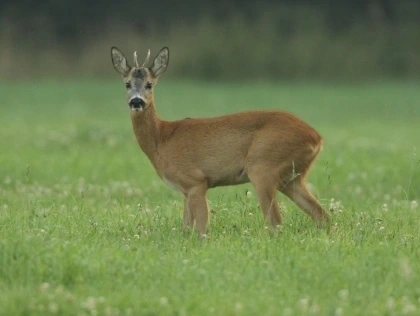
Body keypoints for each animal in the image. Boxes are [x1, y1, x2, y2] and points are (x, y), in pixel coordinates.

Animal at [111, 46, 332, 235]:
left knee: (276, 222)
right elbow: (185, 229)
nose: (137, 101)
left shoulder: (196, 181)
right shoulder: (185, 190)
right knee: (321, 215)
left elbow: (202, 230)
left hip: (263, 167)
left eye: (149, 84)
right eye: (127, 84)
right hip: (292, 178)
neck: (162, 139)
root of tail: (316, 137)